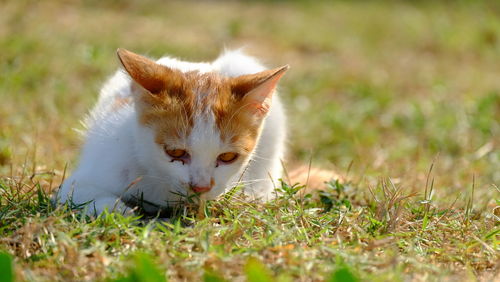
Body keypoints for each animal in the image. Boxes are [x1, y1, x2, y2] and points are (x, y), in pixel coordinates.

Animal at [55, 48, 288, 216]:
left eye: (228, 156)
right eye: (175, 153)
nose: (200, 187)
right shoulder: (80, 181)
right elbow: (84, 195)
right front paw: (120, 210)